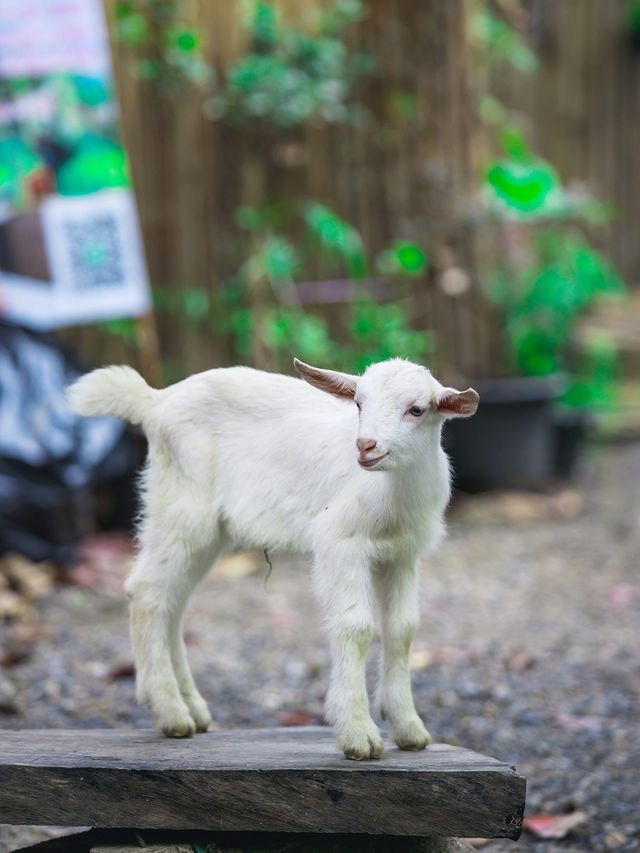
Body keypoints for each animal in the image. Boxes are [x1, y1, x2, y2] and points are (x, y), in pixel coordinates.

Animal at [67, 356, 478, 756]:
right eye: (359, 403)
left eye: (416, 410)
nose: (365, 446)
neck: (393, 491)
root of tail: (155, 401)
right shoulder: (339, 541)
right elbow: (356, 626)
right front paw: (357, 734)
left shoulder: (403, 555)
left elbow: (402, 629)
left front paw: (408, 727)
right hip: (182, 505)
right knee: (147, 591)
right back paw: (170, 712)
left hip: (210, 531)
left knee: (174, 602)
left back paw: (192, 710)